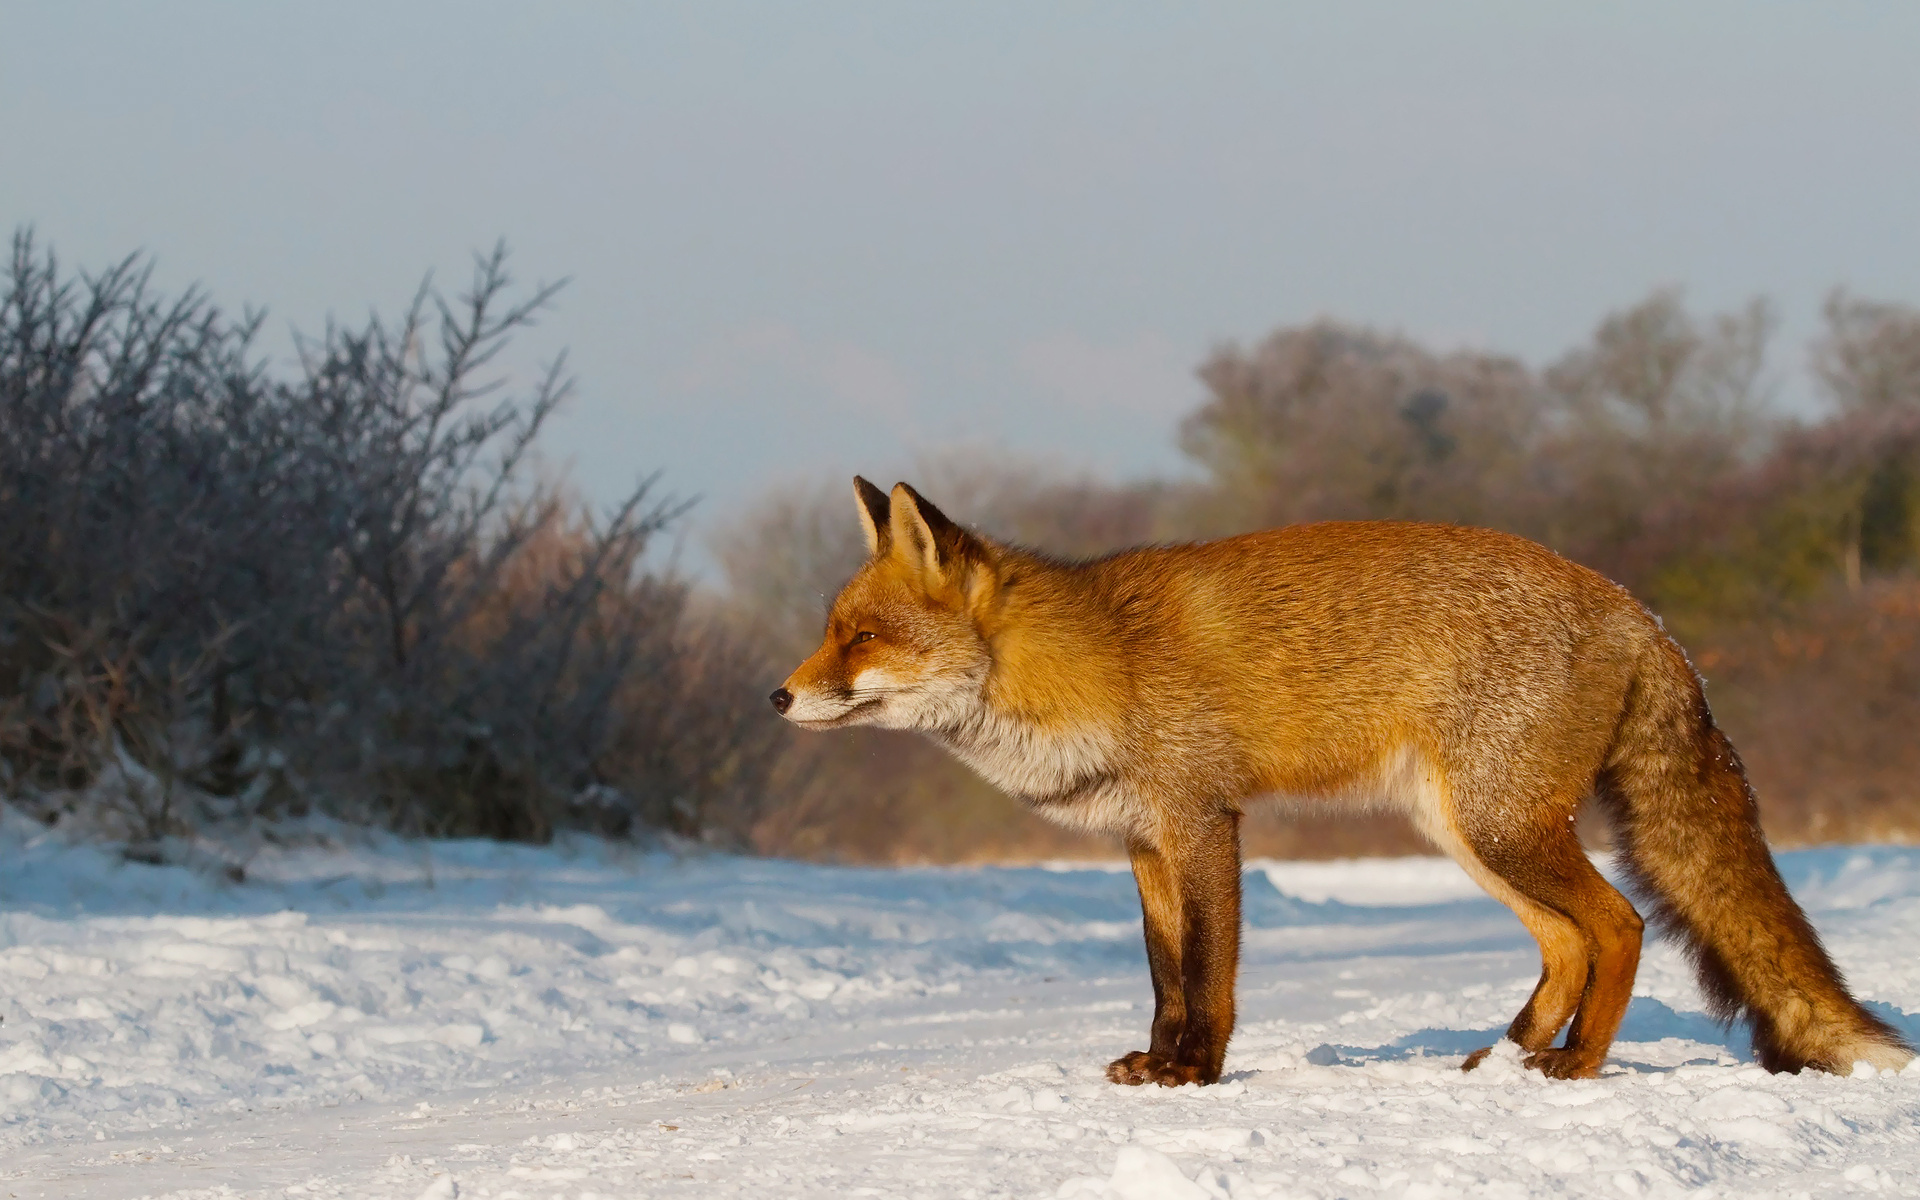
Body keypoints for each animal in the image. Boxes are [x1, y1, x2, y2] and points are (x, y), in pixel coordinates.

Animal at [770, 477, 1915, 1087]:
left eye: (860, 638)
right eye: (830, 630)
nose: (776, 696)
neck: (1090, 665)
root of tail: (1638, 608)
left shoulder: (1202, 820)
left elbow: (1210, 976)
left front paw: (1194, 1075)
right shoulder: (1143, 842)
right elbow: (1163, 973)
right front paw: (1157, 1064)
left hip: (1503, 829)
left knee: (1620, 927)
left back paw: (1573, 1066)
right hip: (1468, 833)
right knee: (1567, 942)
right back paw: (1500, 1060)